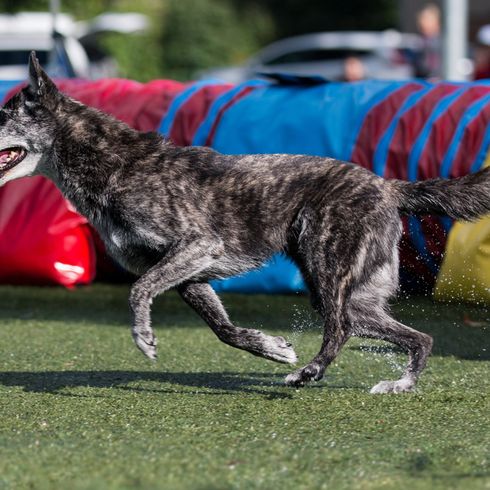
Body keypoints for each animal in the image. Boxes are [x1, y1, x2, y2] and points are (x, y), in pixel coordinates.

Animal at [0, 51, 490, 392]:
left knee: (341, 329)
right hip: (356, 295)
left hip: (328, 268)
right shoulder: (190, 276)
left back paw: (311, 372)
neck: (114, 163)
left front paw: (144, 337)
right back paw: (399, 383)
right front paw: (271, 348)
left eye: (3, 115)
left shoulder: (197, 246)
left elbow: (139, 291)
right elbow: (225, 331)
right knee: (419, 338)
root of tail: (388, 186)